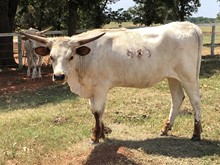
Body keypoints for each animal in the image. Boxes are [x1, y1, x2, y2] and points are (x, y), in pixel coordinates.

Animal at [20, 21, 203, 143]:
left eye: (70, 56)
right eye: (51, 57)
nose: (59, 76)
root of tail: (189, 25)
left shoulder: (101, 87)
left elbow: (97, 111)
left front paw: (95, 136)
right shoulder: (91, 89)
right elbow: (95, 110)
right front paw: (102, 132)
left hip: (188, 76)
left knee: (195, 100)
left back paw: (196, 133)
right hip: (173, 77)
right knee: (177, 98)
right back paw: (165, 129)